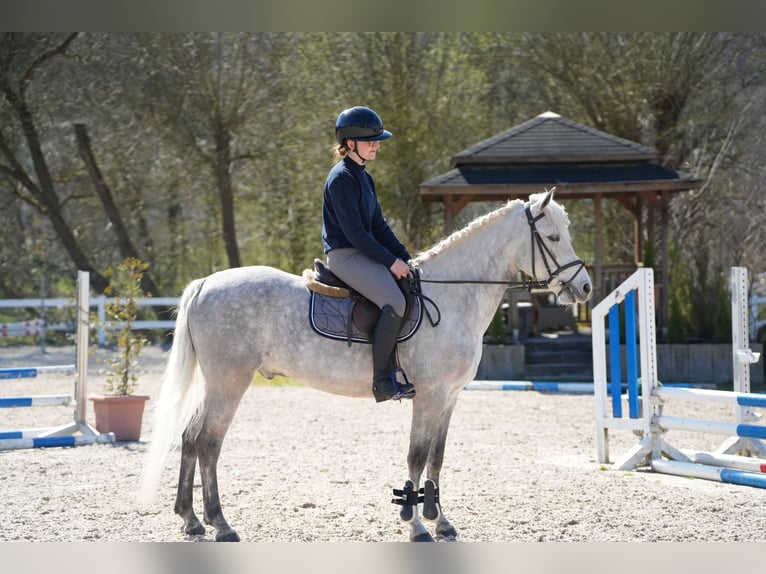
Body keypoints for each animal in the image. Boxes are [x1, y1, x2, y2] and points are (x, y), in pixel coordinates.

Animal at [139, 187, 592, 542]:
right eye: (553, 236)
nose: (584, 287)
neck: (451, 297)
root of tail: (205, 283)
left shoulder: (449, 398)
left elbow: (437, 457)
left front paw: (441, 521)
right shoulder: (429, 396)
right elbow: (416, 456)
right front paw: (416, 525)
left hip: (216, 383)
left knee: (190, 438)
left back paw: (191, 520)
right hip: (229, 382)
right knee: (208, 443)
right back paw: (221, 524)